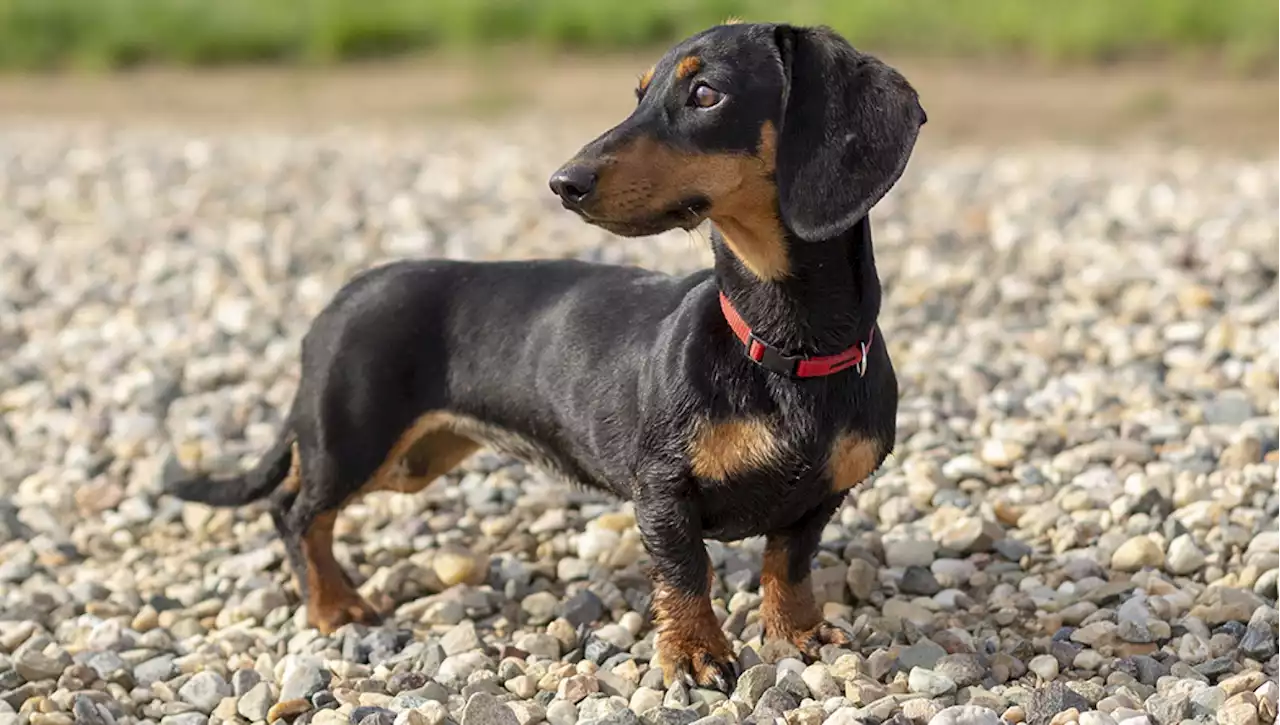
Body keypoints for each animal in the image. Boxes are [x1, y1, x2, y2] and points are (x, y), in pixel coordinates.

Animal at [165, 21, 926, 691]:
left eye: (706, 93)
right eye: (638, 93)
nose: (564, 182)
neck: (780, 347)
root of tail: (343, 296)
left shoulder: (819, 497)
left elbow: (787, 567)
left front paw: (796, 632)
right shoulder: (662, 492)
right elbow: (686, 576)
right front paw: (695, 654)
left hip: (406, 460)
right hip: (354, 439)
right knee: (296, 511)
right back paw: (333, 604)